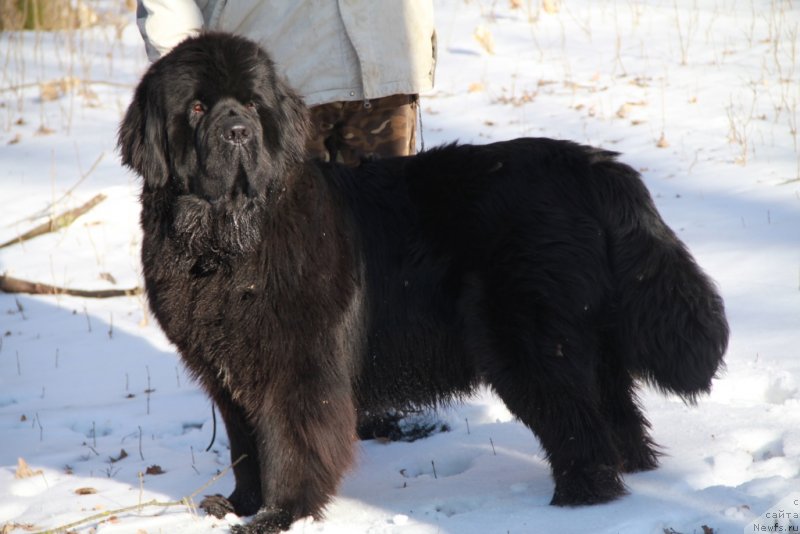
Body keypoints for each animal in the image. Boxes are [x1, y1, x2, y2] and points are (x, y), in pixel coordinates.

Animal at [117, 34, 724, 534]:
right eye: (198, 107)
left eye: (251, 104)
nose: (238, 132)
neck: (226, 243)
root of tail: (595, 165)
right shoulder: (228, 371)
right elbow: (246, 447)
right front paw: (241, 505)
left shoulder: (297, 368)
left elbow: (290, 444)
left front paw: (280, 516)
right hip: (587, 335)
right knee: (614, 412)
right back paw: (628, 478)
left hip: (527, 341)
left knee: (578, 425)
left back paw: (574, 503)